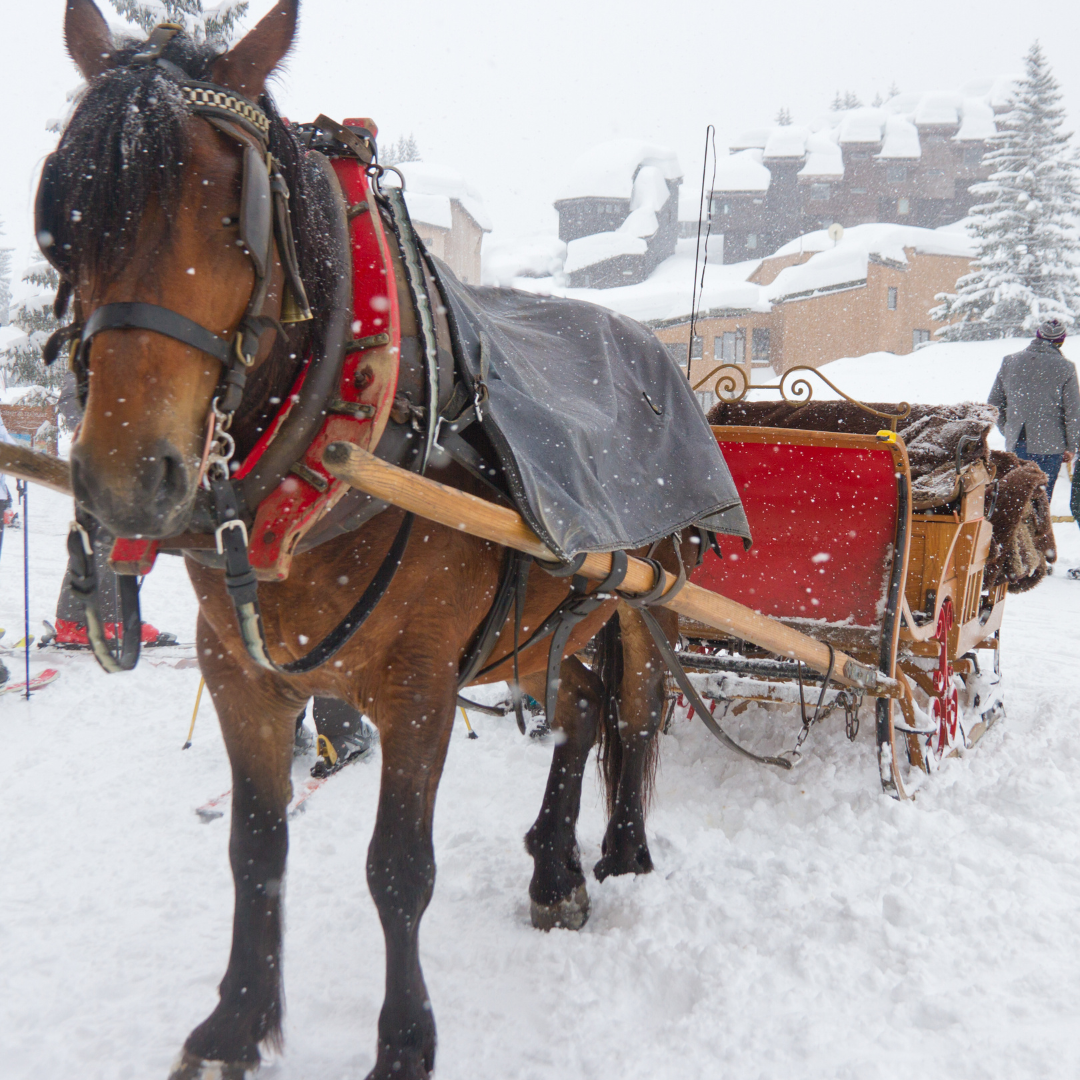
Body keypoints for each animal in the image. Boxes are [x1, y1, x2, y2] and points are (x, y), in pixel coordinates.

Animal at [50, 4, 686, 1075]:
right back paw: (554, 867)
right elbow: (255, 850)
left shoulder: (419, 684)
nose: (125, 481)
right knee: (580, 710)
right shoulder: (239, 671)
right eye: (65, 216)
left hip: (642, 600)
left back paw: (615, 849)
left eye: (233, 211)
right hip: (547, 617)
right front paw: (236, 1022)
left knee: (631, 713)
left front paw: (403, 1041)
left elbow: (397, 870)